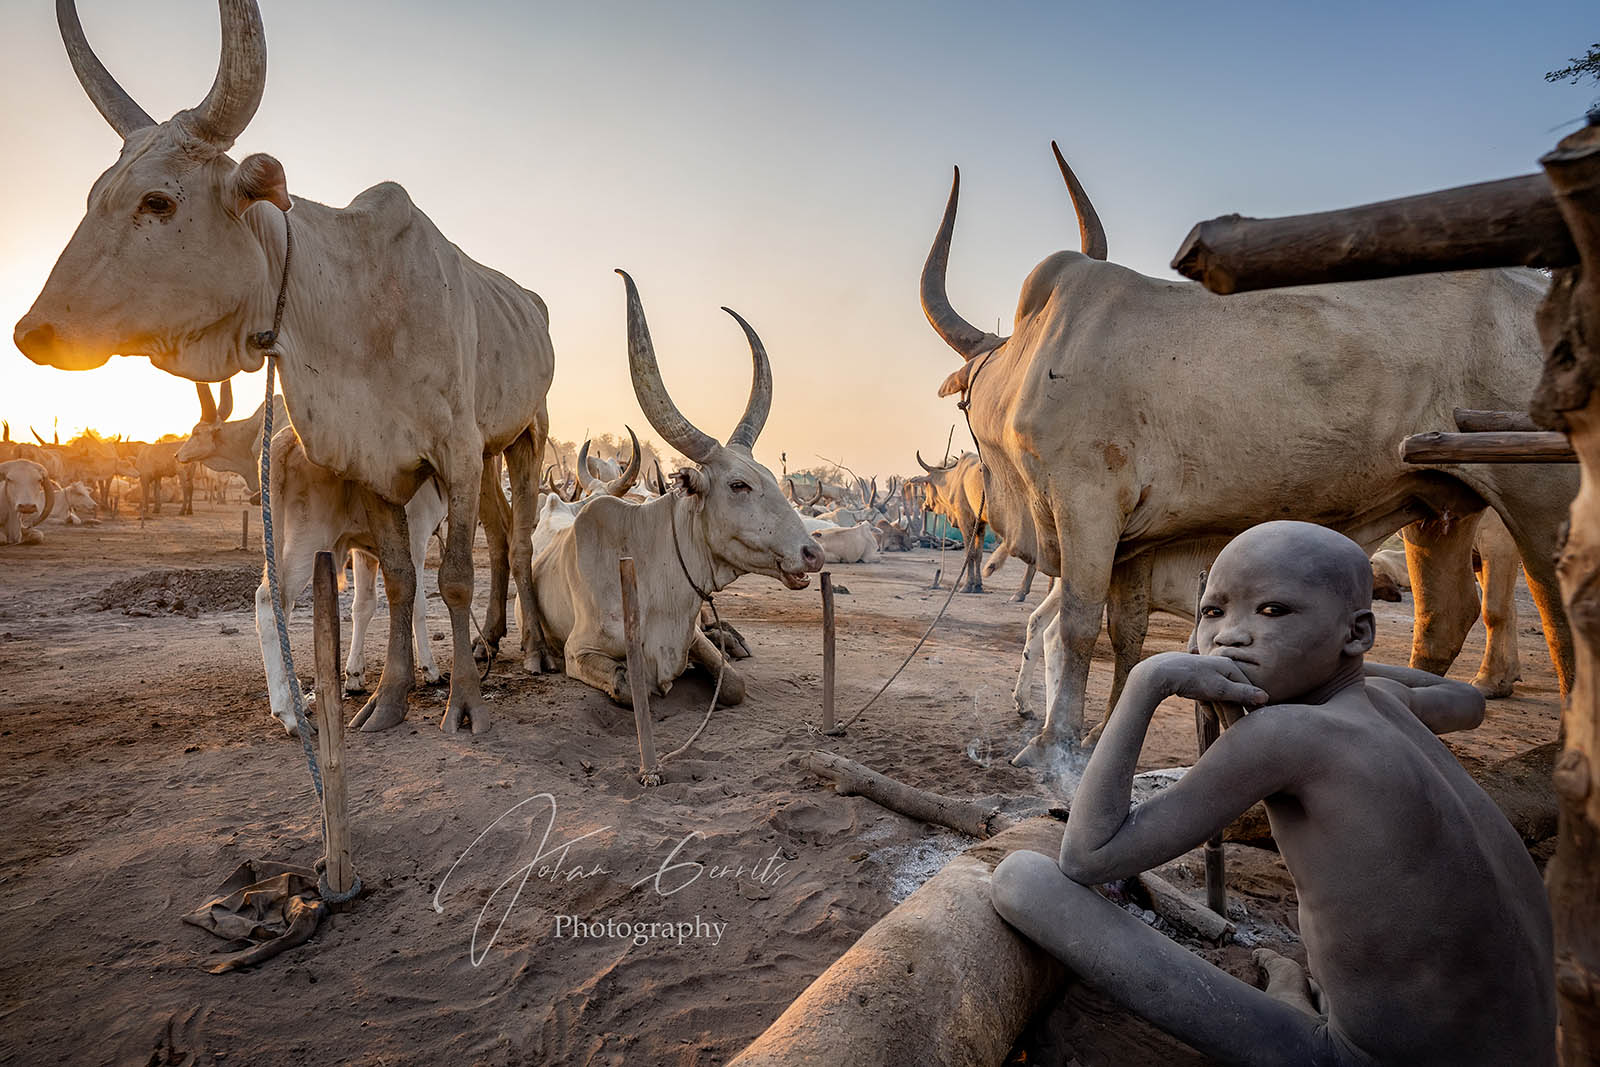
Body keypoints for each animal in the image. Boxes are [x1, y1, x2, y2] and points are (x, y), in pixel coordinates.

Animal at [16, 0, 557, 735]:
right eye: (95, 194)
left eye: (157, 201)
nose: (33, 332)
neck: (354, 304)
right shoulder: (377, 461)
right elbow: (397, 579)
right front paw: (386, 701)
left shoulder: (455, 448)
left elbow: (448, 578)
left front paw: (462, 706)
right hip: (493, 449)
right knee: (499, 537)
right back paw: (489, 639)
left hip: (527, 434)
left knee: (521, 540)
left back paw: (533, 650)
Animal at [527, 272, 823, 706]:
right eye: (738, 485)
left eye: (772, 478)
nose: (813, 553)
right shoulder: (578, 651)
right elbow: (629, 687)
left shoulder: (692, 634)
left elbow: (732, 683)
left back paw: (732, 637)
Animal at [920, 143, 1576, 766]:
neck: (1026, 359)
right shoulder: (1134, 540)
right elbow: (1128, 636)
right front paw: (1100, 736)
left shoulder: (1088, 504)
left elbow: (1078, 629)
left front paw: (1053, 745)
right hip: (1439, 501)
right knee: (1445, 617)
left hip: (1543, 491)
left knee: (1559, 614)